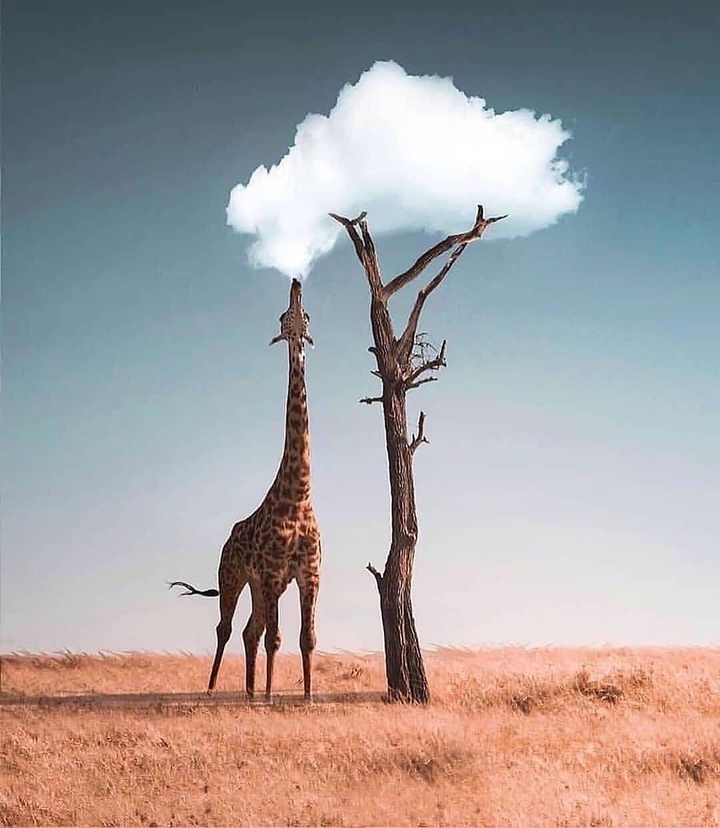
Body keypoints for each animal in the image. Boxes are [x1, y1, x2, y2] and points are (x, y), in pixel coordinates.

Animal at [171, 278, 321, 700]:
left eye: (305, 315)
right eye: (284, 315)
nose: (296, 283)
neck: (299, 495)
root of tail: (227, 539)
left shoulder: (307, 574)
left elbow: (306, 639)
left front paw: (306, 697)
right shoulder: (271, 573)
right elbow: (276, 638)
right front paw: (272, 697)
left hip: (260, 586)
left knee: (249, 630)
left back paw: (251, 692)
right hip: (234, 576)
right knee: (227, 628)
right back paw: (215, 690)